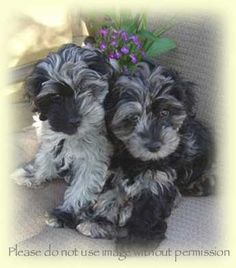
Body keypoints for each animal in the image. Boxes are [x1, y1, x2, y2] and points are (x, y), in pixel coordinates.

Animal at [11, 44, 114, 226]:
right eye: (56, 97)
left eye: (86, 88)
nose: (74, 120)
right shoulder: (51, 136)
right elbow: (45, 157)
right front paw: (35, 175)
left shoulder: (95, 156)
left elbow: (84, 184)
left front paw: (65, 213)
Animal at [75, 61, 214, 247]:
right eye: (133, 118)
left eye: (164, 112)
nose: (154, 146)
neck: (137, 160)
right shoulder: (113, 173)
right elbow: (109, 197)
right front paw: (99, 222)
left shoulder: (157, 181)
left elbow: (148, 213)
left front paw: (137, 244)